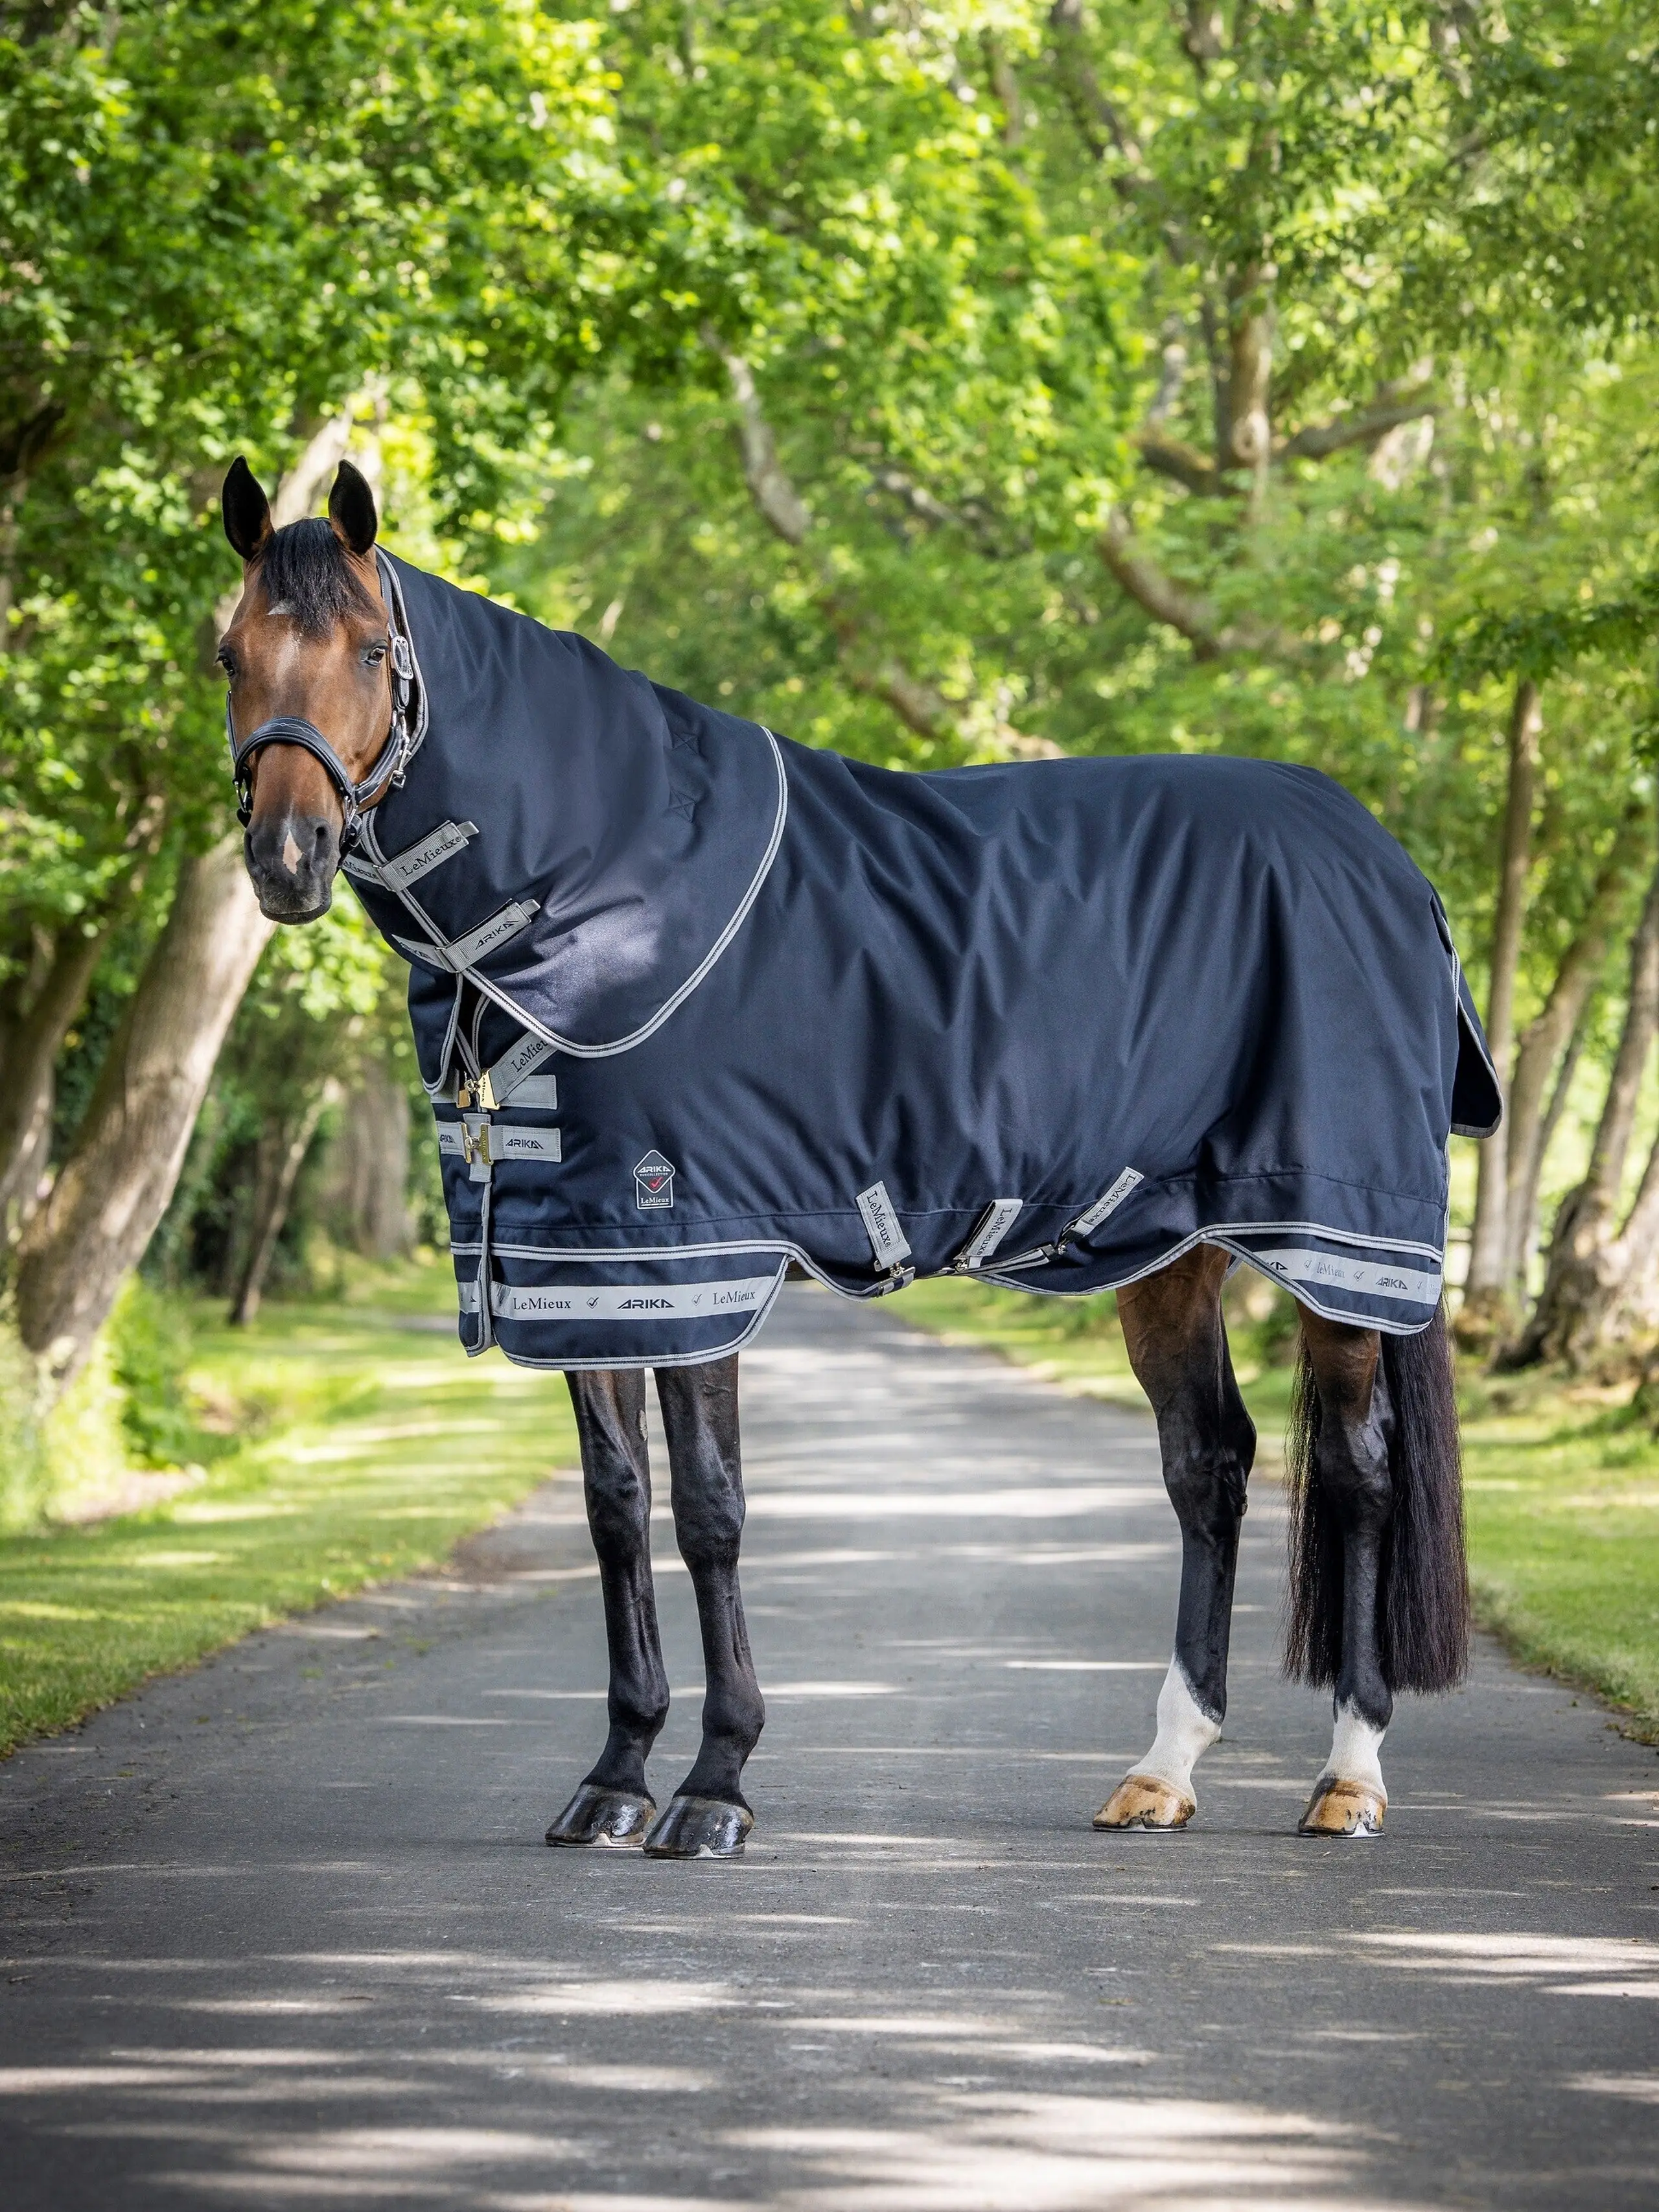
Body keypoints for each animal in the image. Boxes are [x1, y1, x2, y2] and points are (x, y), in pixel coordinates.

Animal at [219, 454, 1489, 1858]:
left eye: (370, 647)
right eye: (230, 652)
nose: (285, 857)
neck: (601, 883)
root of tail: (1388, 863)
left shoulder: (694, 1256)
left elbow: (709, 1510)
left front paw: (715, 1785)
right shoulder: (582, 1267)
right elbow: (614, 1509)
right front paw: (615, 1776)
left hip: (1336, 1245)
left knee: (1361, 1472)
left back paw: (1347, 1776)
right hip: (1173, 1250)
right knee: (1206, 1468)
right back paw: (1163, 1767)